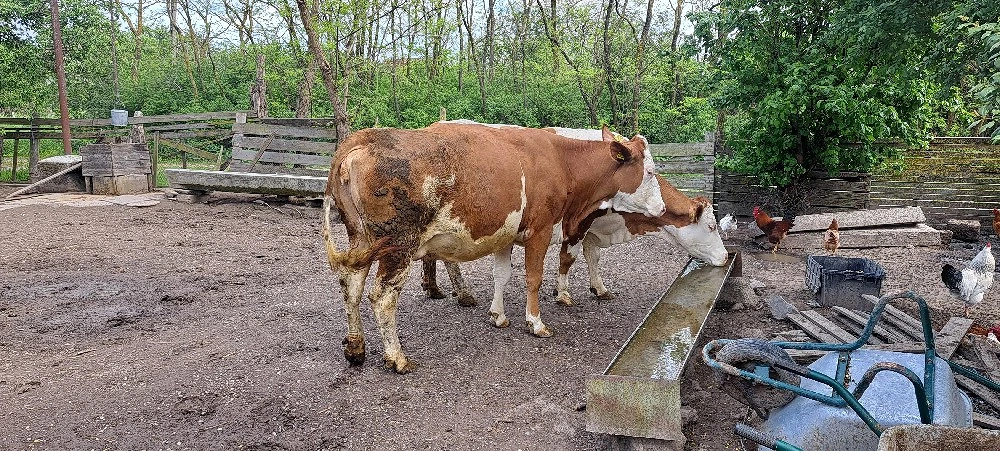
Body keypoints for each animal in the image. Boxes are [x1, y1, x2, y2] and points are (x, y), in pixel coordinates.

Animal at [322, 122, 664, 373]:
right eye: (649, 172)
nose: (661, 208)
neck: (562, 161)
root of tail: (361, 140)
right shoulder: (540, 231)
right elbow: (533, 278)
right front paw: (536, 322)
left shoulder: (506, 235)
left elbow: (502, 276)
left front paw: (498, 315)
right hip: (398, 246)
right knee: (382, 297)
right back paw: (397, 357)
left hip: (362, 240)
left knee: (350, 286)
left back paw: (355, 348)